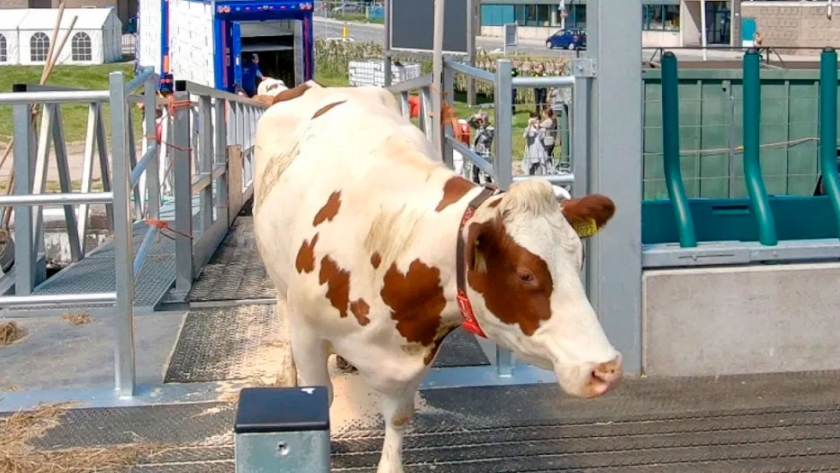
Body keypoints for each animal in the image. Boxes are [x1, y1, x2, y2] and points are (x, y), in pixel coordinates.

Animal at [253, 82, 623, 473]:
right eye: (525, 274)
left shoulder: (416, 353)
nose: (607, 369)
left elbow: (398, 417)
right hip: (277, 275)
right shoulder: (309, 337)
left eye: (579, 259)